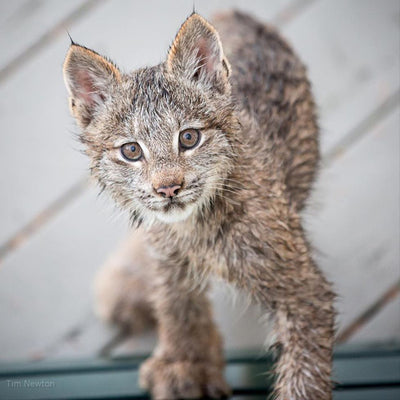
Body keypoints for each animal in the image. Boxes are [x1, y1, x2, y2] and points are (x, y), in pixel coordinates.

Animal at [63, 10, 334, 398]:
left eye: (189, 138)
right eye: (131, 151)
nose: (168, 189)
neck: (194, 227)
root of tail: (238, 12)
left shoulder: (303, 291)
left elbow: (304, 376)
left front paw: (187, 364)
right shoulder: (169, 258)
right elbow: (177, 306)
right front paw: (185, 364)